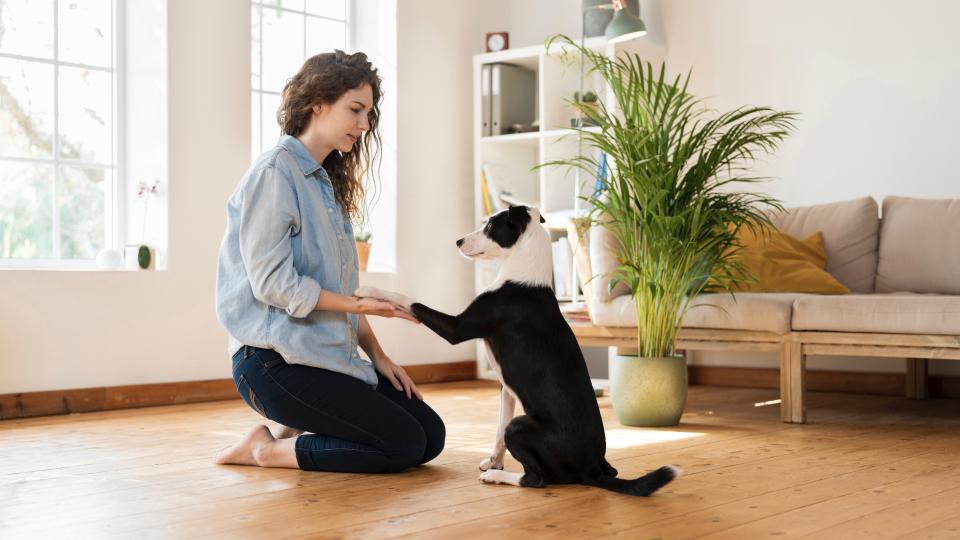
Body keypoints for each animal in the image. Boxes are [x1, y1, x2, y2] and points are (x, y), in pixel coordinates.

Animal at [356, 205, 680, 496]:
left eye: (490, 225)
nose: (458, 241)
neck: (523, 272)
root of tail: (591, 468)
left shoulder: (456, 328)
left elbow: (410, 301)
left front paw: (369, 291)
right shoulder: (506, 388)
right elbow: (498, 430)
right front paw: (494, 462)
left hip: (520, 427)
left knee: (536, 480)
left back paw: (500, 479)